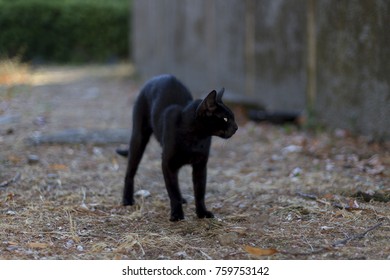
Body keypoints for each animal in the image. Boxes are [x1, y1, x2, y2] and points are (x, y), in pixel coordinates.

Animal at [116, 74, 238, 221]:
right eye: (225, 119)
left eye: (233, 117)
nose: (236, 127)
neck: (196, 138)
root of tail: (162, 76)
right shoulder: (167, 164)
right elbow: (173, 191)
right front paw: (177, 214)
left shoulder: (200, 165)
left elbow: (199, 191)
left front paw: (202, 213)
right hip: (139, 138)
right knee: (130, 172)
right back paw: (127, 200)